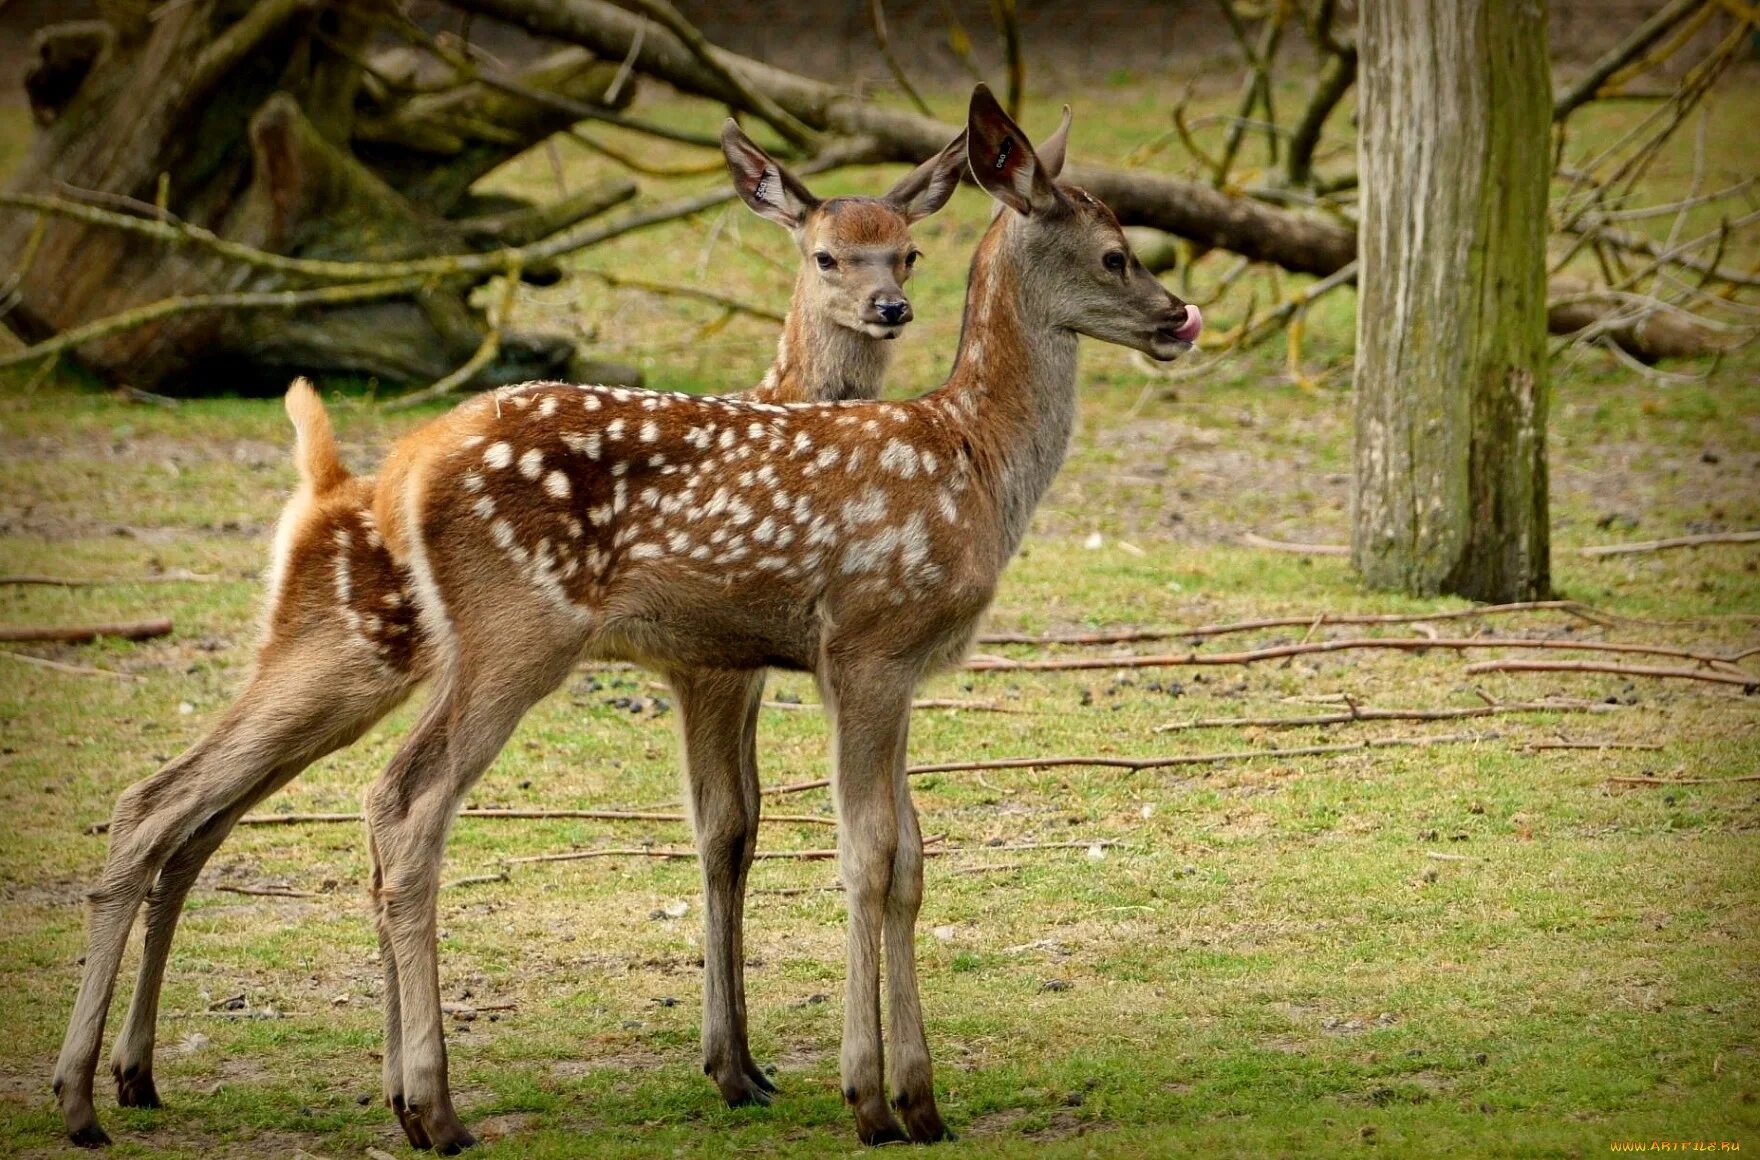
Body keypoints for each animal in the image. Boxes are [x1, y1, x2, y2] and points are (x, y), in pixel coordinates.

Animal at [51, 122, 964, 1147]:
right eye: (825, 254)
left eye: (908, 248)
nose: (890, 307)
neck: (784, 397)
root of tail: (324, 490)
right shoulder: (708, 666)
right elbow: (726, 831)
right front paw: (733, 1066)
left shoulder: (740, 667)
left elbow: (742, 825)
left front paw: (746, 1063)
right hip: (366, 657)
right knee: (193, 806)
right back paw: (102, 1092)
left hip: (334, 668)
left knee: (199, 819)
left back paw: (140, 1076)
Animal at [330, 88, 1203, 1154]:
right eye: (1115, 254)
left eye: (909, 256)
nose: (1179, 318)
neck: (975, 461)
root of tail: (407, 467)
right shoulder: (866, 640)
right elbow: (865, 856)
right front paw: (868, 1097)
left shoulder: (897, 669)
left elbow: (911, 859)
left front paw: (922, 1099)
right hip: (518, 630)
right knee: (414, 809)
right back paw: (438, 1108)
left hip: (473, 644)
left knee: (383, 797)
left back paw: (402, 1100)